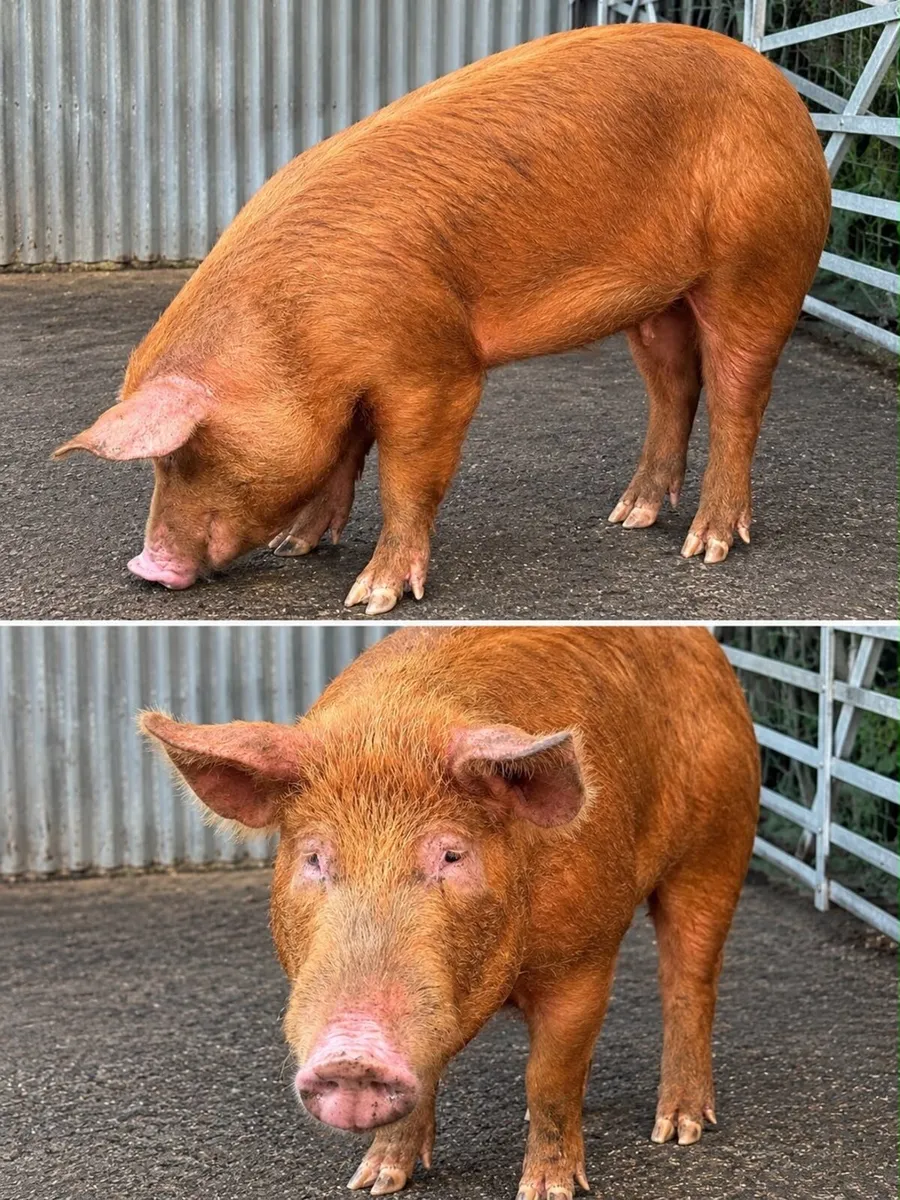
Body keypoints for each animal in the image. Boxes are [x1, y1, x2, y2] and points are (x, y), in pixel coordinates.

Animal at [55, 24, 831, 614]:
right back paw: (630, 515)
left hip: (760, 263)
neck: (292, 334)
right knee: (674, 387)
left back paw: (707, 547)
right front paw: (297, 546)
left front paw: (370, 598)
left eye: (183, 452)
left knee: (737, 397)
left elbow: (406, 474)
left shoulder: (434, 367)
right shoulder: (352, 386)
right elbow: (345, 452)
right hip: (658, 302)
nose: (146, 567)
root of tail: (781, 90)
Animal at [141, 625, 760, 1197]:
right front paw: (374, 1182)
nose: (353, 1056)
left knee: (689, 984)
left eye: (452, 854)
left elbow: (550, 1077)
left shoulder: (584, 954)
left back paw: (679, 1129)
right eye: (314, 857)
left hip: (720, 842)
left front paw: (547, 1190)